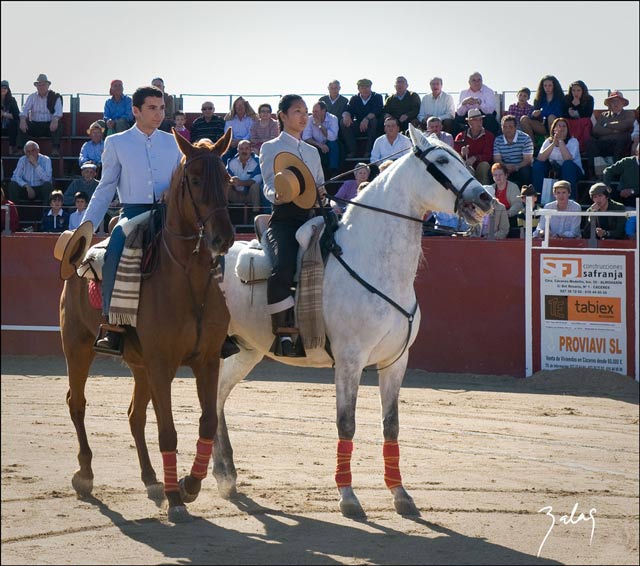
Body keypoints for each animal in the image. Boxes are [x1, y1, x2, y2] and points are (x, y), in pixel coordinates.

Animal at [59, 131, 235, 524]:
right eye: (195, 180)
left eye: (228, 180)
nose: (223, 238)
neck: (188, 278)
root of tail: (79, 258)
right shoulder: (162, 364)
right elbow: (167, 431)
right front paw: (176, 498)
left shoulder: (207, 361)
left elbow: (206, 422)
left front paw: (188, 484)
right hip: (77, 345)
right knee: (77, 403)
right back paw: (85, 474)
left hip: (138, 364)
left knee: (134, 416)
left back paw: (152, 479)